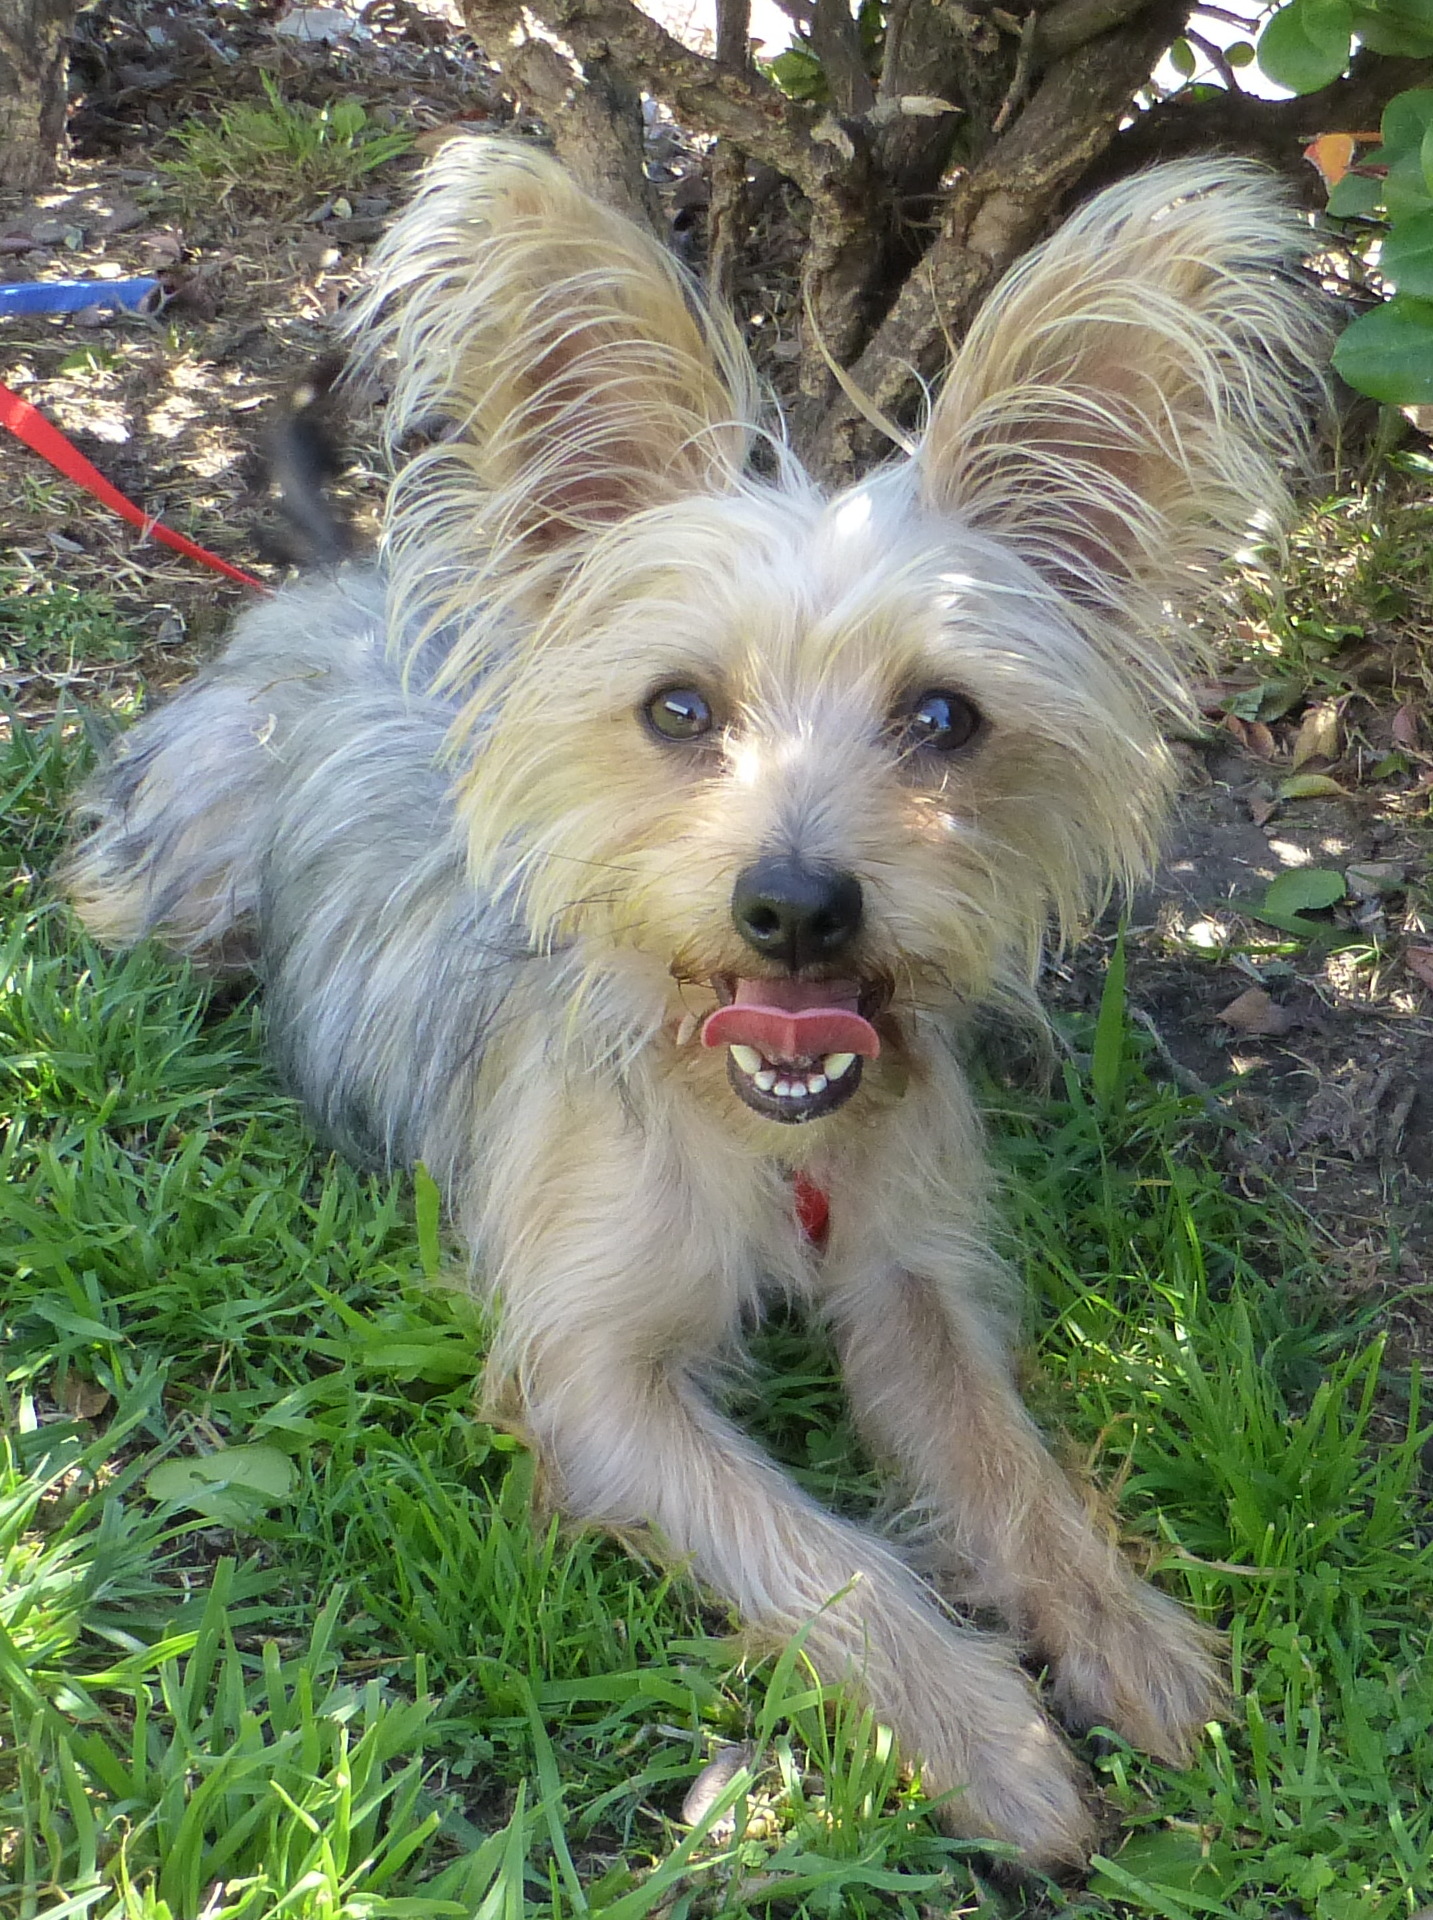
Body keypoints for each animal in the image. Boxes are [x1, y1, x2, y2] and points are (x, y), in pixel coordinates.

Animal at [64, 139, 1313, 1873]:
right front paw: (986, 1732)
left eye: (944, 718)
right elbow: (811, 1545)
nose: (794, 906)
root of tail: (332, 589)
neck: (760, 1133)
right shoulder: (593, 1376)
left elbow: (1001, 1461)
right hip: (177, 885)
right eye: (676, 709)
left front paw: (1115, 1623)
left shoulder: (911, 1277)